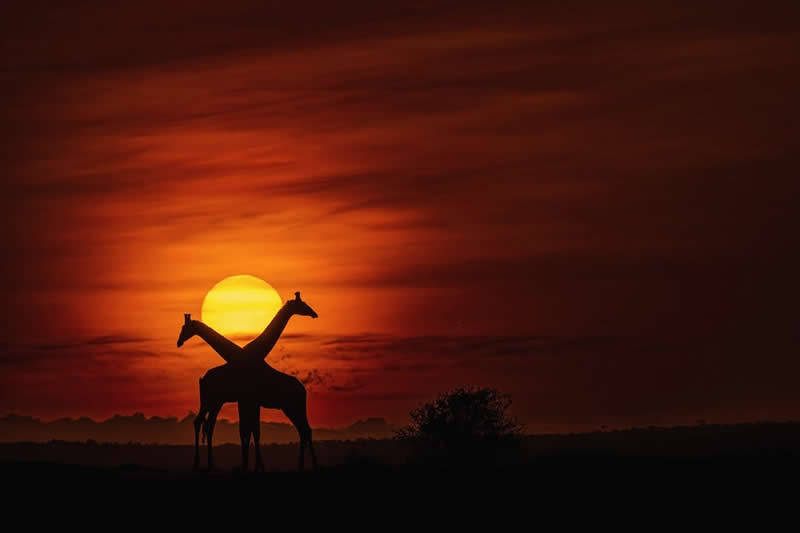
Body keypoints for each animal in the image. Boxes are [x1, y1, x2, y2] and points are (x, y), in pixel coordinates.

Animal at [177, 292, 318, 471]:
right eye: (303, 305)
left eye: (184, 328)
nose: (179, 342)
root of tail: (303, 389)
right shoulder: (246, 399)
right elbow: (248, 431)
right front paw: (251, 465)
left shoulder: (250, 400)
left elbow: (250, 431)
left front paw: (254, 465)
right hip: (214, 401)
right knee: (202, 424)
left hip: (289, 407)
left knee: (305, 430)